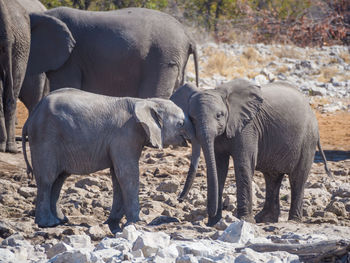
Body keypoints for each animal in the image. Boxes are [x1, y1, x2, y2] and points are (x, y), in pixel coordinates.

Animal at [23, 88, 193, 233]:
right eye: (180, 124)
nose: (179, 200)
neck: (145, 101)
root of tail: (31, 115)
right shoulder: (125, 134)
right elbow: (127, 173)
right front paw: (137, 222)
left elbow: (117, 175)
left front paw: (113, 223)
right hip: (45, 138)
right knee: (47, 179)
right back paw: (48, 224)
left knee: (59, 179)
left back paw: (61, 221)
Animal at [172, 80, 330, 227]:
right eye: (192, 118)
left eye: (219, 115)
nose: (179, 199)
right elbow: (218, 168)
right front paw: (215, 222)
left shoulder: (248, 127)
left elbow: (243, 164)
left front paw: (245, 221)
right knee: (272, 178)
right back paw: (265, 219)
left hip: (307, 140)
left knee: (297, 178)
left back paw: (293, 221)